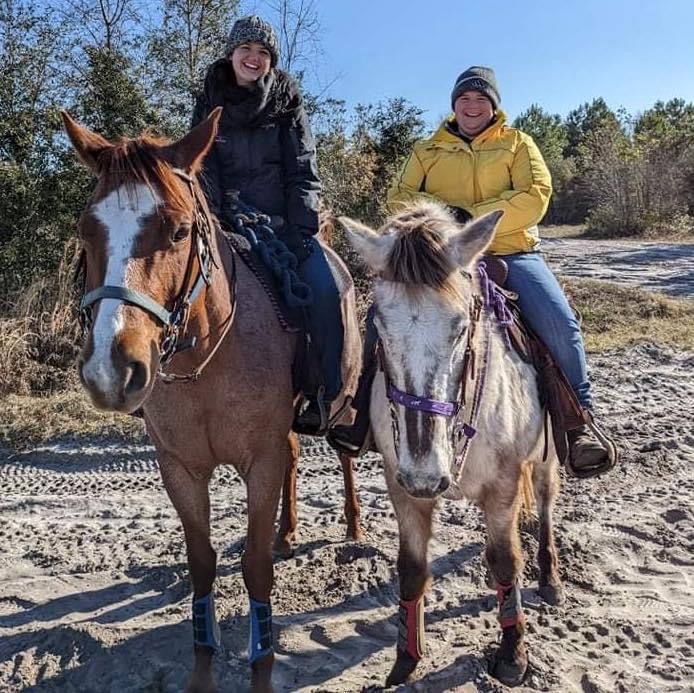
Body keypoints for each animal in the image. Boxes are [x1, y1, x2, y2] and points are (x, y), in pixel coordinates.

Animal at [62, 109, 364, 692]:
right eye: (87, 230)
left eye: (180, 231)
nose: (111, 371)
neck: (207, 361)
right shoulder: (180, 468)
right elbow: (201, 562)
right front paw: (203, 665)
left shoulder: (259, 462)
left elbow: (255, 568)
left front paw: (262, 665)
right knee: (296, 455)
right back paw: (289, 532)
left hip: (342, 403)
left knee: (342, 456)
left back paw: (355, 526)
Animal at [342, 201, 564, 688]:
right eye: (379, 328)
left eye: (461, 327)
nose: (427, 474)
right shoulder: (402, 486)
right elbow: (411, 570)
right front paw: (406, 659)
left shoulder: (502, 486)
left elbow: (505, 561)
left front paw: (512, 654)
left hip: (545, 457)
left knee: (544, 504)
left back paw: (551, 577)